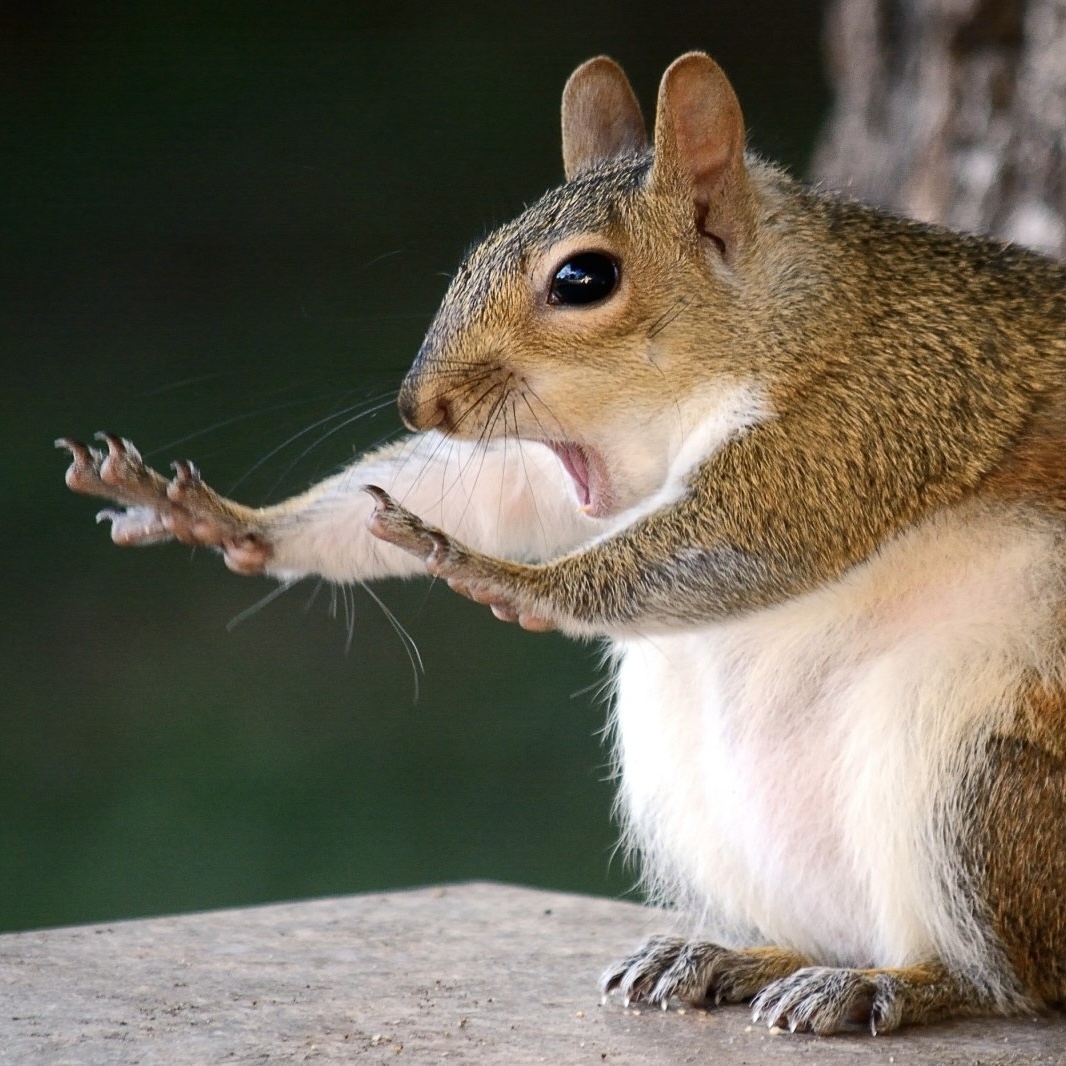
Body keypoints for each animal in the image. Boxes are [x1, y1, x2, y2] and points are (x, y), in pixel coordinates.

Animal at [58, 54, 1066, 1036]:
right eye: (475, 255)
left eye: (582, 280)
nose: (419, 405)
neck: (786, 315)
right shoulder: (551, 467)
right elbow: (488, 491)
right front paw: (229, 521)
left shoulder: (877, 410)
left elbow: (747, 539)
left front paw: (497, 576)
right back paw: (730, 956)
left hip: (973, 773)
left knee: (1009, 979)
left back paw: (892, 984)